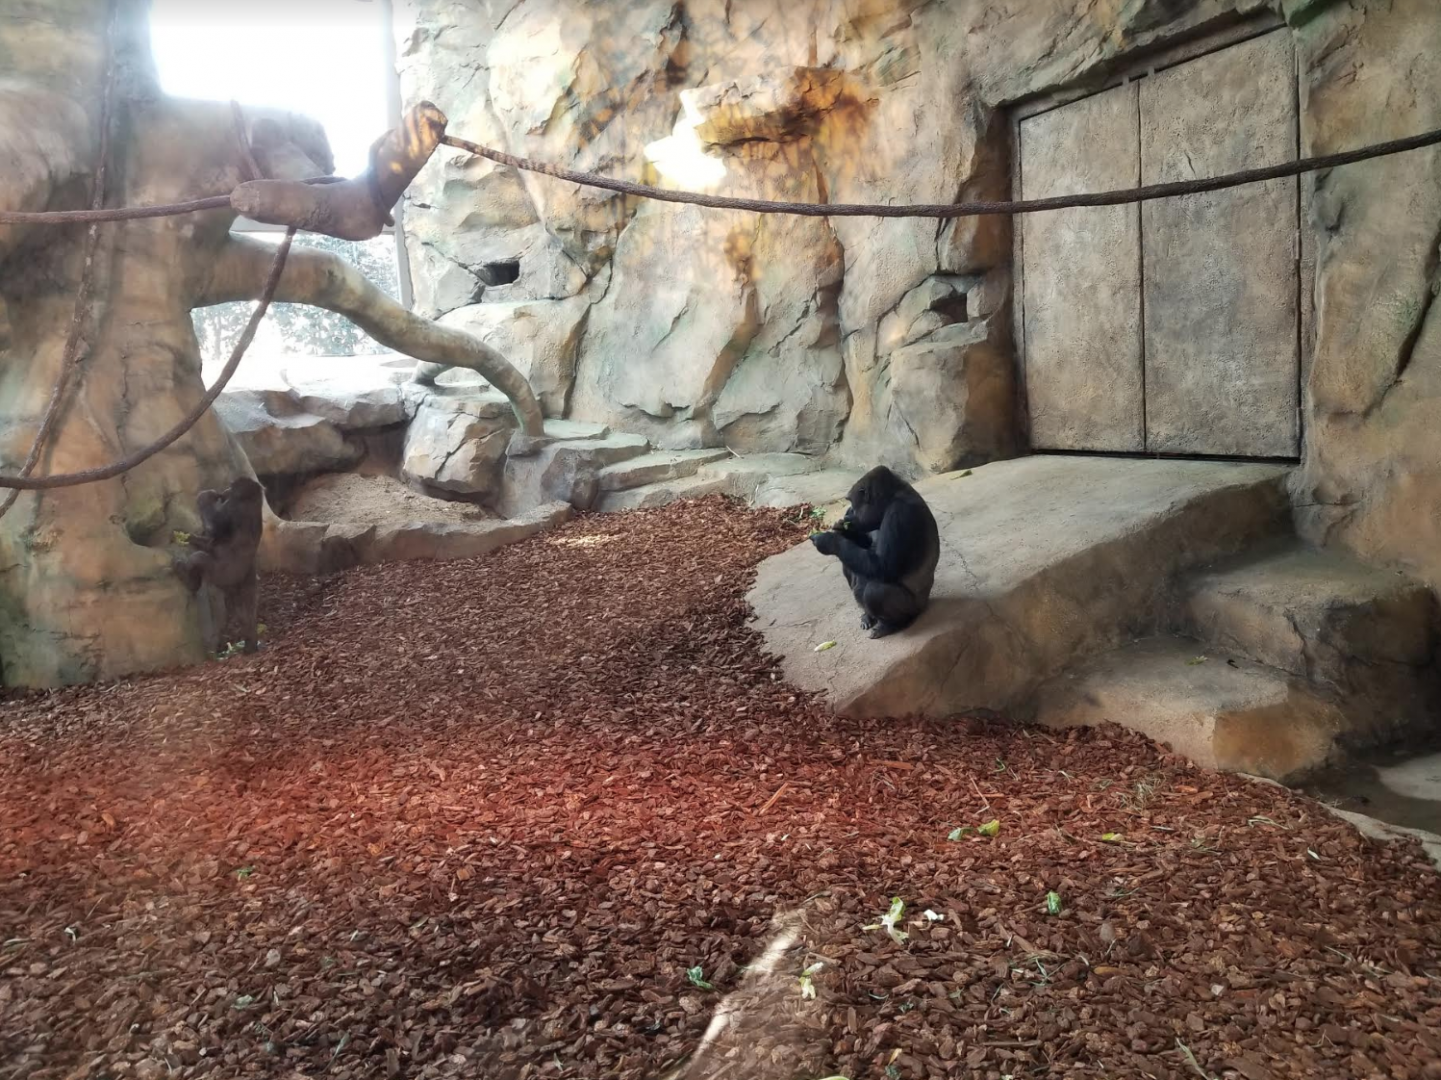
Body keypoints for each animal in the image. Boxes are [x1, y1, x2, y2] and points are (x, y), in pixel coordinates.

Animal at [175, 476, 264, 654]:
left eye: (230, 487)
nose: (225, 491)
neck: (250, 500)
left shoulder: (231, 508)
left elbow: (213, 528)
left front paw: (205, 497)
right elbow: (211, 538)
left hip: (223, 575)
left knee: (200, 559)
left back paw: (188, 578)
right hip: (244, 581)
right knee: (247, 610)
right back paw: (250, 643)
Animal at [809, 465, 940, 639]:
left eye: (851, 501)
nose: (849, 511)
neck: (893, 496)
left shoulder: (899, 513)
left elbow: (882, 567)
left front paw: (829, 541)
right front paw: (845, 531)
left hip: (916, 607)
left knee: (876, 592)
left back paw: (892, 624)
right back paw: (868, 616)